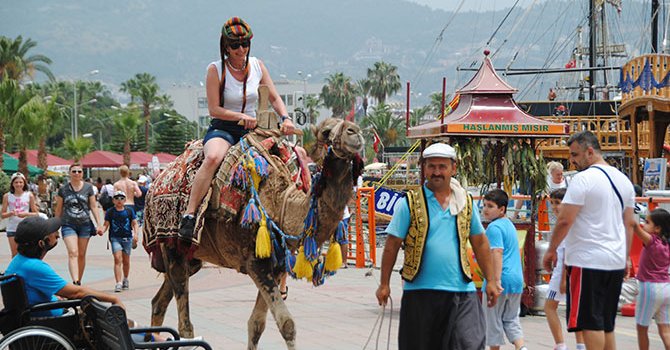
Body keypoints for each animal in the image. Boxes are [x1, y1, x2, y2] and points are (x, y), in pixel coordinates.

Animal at [146, 118, 368, 350]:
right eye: (326, 131)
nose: (355, 132)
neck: (282, 204)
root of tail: (157, 182)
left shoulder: (277, 266)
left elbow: (257, 324)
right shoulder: (256, 264)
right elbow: (286, 323)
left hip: (192, 259)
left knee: (158, 302)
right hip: (172, 247)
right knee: (185, 324)